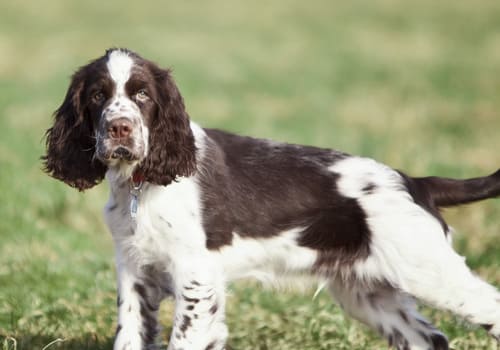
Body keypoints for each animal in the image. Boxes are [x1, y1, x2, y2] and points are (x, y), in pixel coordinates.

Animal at [44, 48, 500, 350]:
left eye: (142, 95)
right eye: (98, 96)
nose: (119, 129)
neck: (141, 183)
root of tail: (415, 182)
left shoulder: (196, 277)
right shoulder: (134, 271)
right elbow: (129, 336)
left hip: (428, 271)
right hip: (369, 293)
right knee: (429, 338)